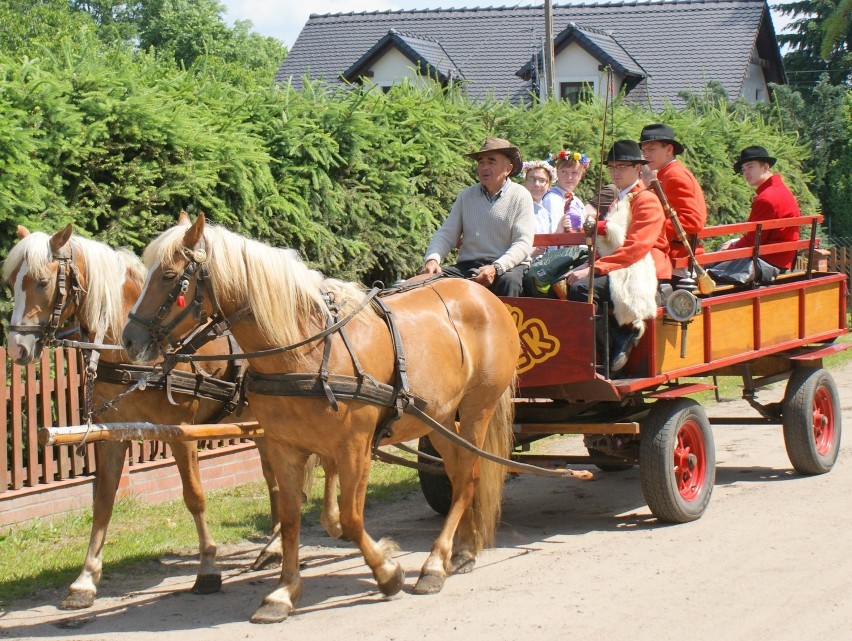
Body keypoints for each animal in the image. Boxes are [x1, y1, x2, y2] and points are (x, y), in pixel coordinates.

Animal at [3, 226, 336, 608]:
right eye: (11, 282)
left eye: (42, 282)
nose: (16, 348)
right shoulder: (114, 435)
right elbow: (102, 502)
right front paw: (85, 580)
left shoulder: (181, 432)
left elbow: (194, 497)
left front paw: (208, 568)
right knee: (277, 482)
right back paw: (275, 547)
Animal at [120, 212, 520, 624]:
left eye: (169, 275)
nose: (129, 339)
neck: (307, 351)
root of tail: (483, 296)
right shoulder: (284, 447)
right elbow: (291, 518)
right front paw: (283, 592)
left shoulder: (355, 448)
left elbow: (351, 518)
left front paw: (387, 572)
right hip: (435, 418)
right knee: (461, 475)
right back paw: (464, 550)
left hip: (475, 412)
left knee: (468, 477)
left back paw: (435, 564)